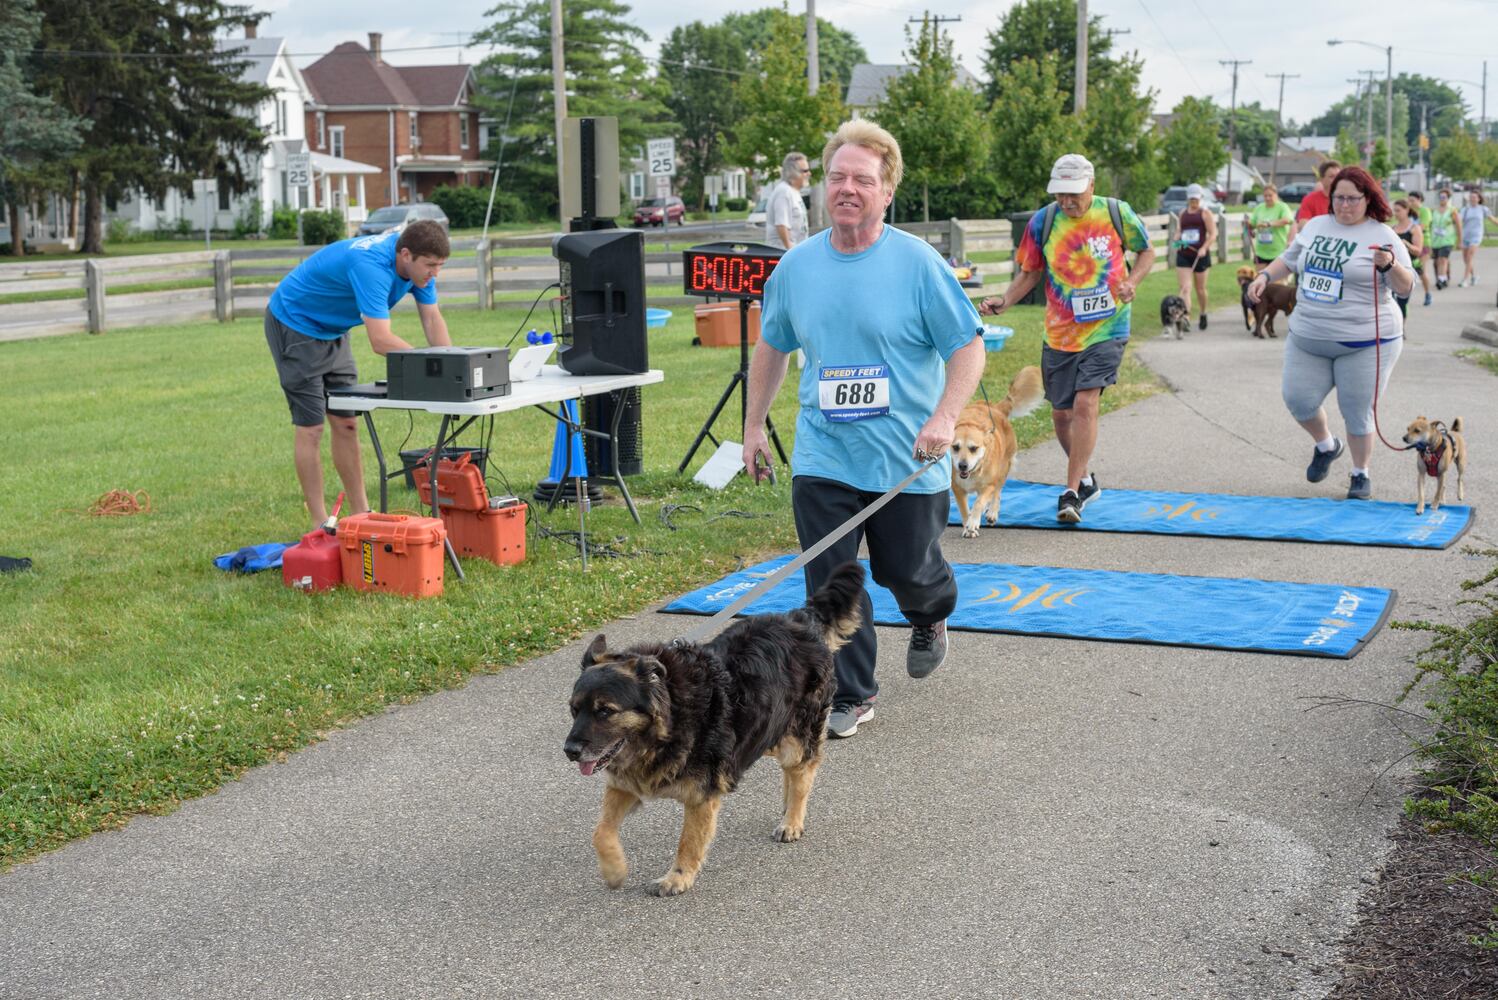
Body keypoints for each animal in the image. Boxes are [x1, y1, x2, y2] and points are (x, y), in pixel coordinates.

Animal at [563, 562, 868, 898]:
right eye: (574, 710)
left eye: (605, 711)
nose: (570, 751)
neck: (671, 715)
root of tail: (800, 618)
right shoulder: (626, 784)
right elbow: (600, 831)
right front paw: (615, 870)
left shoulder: (701, 797)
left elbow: (688, 842)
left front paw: (677, 878)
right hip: (771, 733)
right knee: (793, 773)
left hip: (796, 738)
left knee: (803, 773)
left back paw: (792, 820)